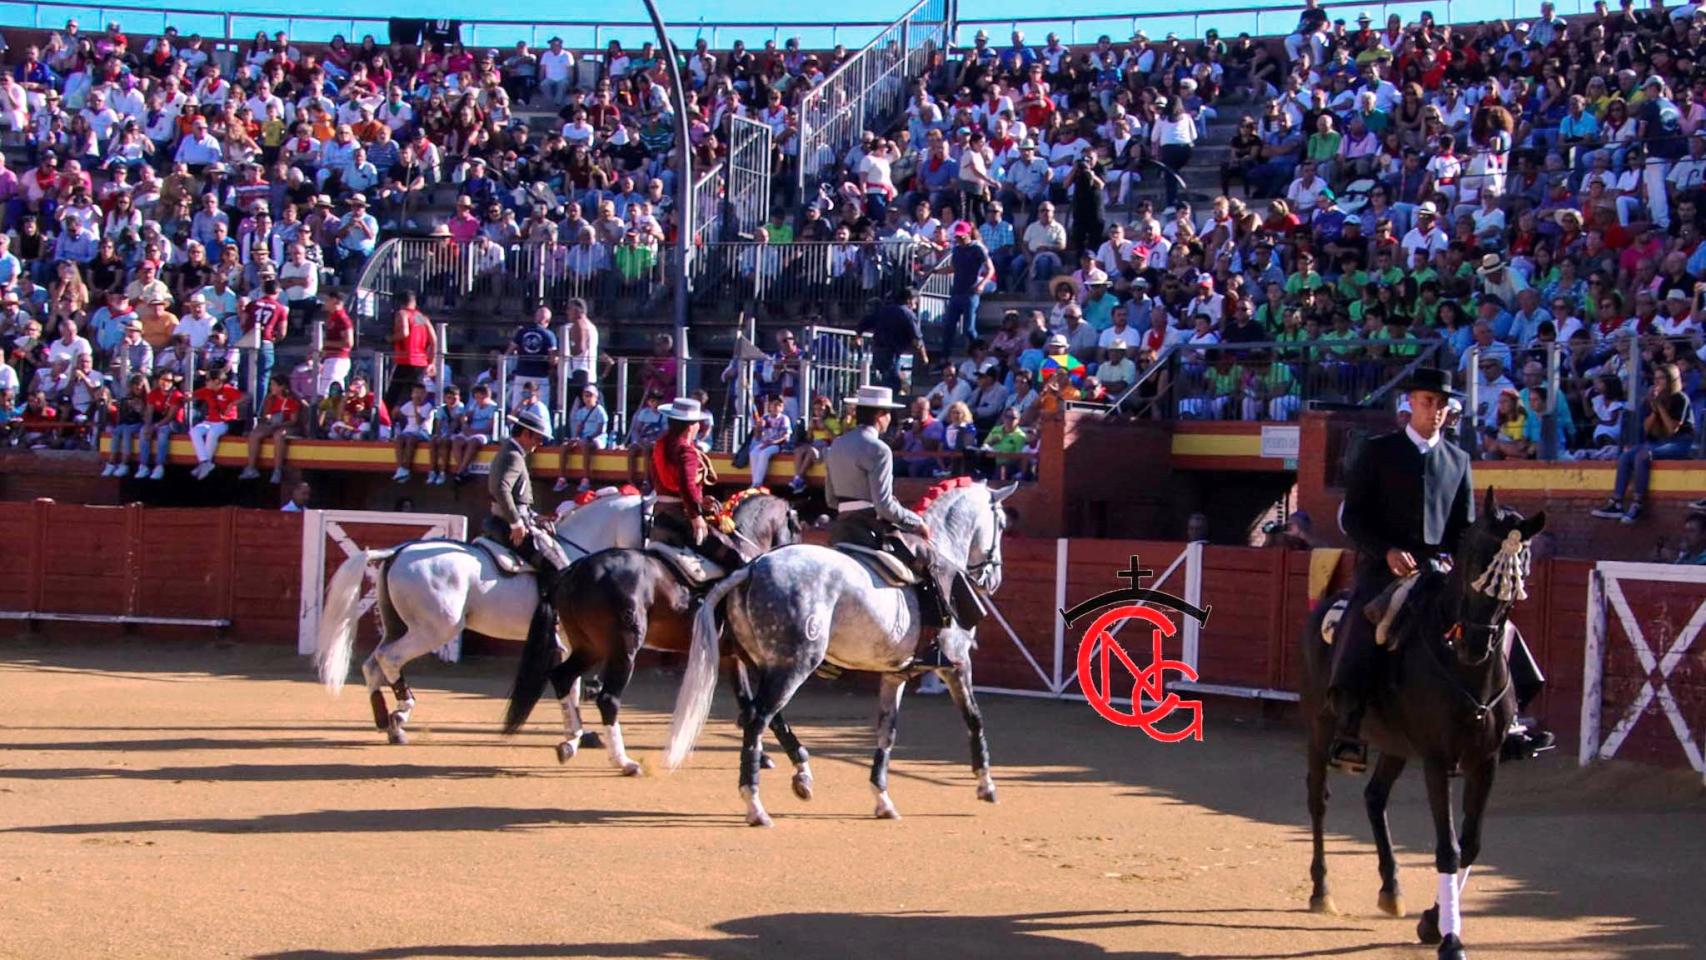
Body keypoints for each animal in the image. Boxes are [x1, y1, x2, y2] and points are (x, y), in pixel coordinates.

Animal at [498, 491, 805, 784]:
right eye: (797, 528)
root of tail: (573, 571)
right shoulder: (756, 656)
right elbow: (766, 707)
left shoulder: (732, 656)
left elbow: (746, 701)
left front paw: (762, 756)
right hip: (625, 648)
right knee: (608, 699)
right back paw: (624, 762)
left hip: (590, 647)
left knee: (562, 676)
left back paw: (571, 743)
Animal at [661, 480, 1009, 825]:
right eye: (1002, 524)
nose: (994, 579)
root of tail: (752, 568)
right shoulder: (957, 664)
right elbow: (974, 718)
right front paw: (986, 784)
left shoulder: (894, 675)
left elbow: (887, 732)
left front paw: (882, 799)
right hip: (795, 666)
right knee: (757, 719)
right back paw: (756, 805)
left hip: (764, 663)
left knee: (759, 714)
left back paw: (798, 776)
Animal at [1303, 491, 1549, 954]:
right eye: (1473, 557)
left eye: (1520, 569)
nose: (1475, 643)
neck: (1467, 671)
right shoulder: (1437, 759)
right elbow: (1447, 847)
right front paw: (1451, 940)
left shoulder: (1485, 761)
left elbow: (1469, 844)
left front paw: (1434, 922)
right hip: (1319, 722)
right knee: (1318, 799)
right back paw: (1321, 891)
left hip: (1396, 743)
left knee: (1375, 797)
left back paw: (1391, 889)